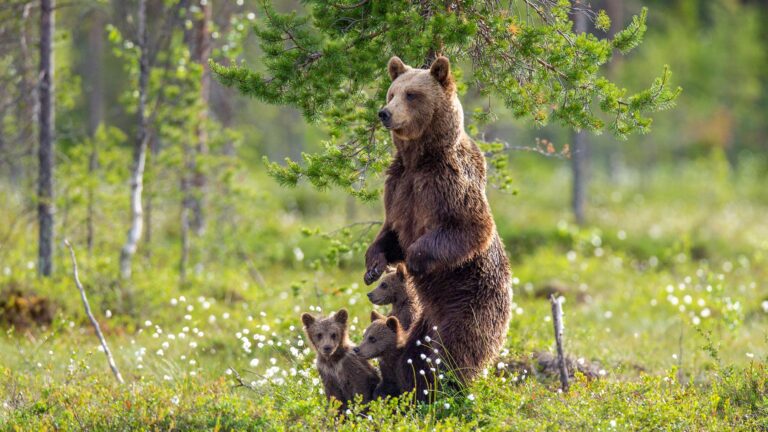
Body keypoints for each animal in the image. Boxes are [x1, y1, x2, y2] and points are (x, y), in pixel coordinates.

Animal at [364, 55, 512, 400]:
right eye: (392, 92)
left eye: (412, 95)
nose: (385, 112)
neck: (420, 159)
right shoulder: (398, 187)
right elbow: (390, 234)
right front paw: (373, 266)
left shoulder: (448, 184)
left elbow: (469, 228)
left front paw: (415, 261)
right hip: (421, 324)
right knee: (412, 357)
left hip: (468, 305)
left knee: (455, 351)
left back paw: (448, 389)